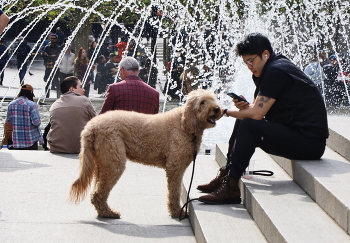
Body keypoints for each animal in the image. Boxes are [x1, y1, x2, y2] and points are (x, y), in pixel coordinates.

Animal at [69, 89, 221, 218]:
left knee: (96, 193)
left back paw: (105, 212)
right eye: (202, 102)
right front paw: (177, 212)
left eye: (214, 99)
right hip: (113, 161)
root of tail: (91, 126)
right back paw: (109, 213)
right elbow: (175, 192)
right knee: (98, 193)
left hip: (101, 163)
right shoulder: (175, 167)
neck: (185, 124)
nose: (217, 109)